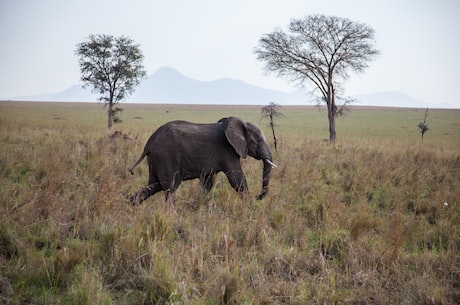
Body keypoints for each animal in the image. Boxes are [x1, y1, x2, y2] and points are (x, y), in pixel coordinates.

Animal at [128, 116, 276, 204]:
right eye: (259, 140)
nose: (258, 196)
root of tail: (149, 144)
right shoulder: (228, 151)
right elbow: (237, 179)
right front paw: (250, 205)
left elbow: (208, 183)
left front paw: (196, 205)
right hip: (166, 156)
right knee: (170, 187)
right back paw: (171, 215)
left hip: (156, 159)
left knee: (154, 185)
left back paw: (131, 205)